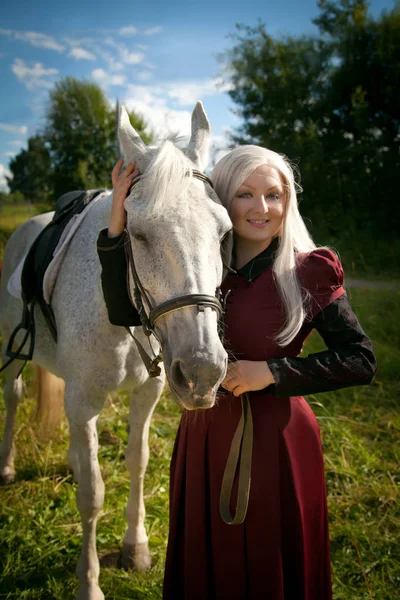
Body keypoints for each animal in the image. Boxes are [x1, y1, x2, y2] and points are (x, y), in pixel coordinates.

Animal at [0, 103, 231, 600]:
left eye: (223, 231)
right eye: (138, 233)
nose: (203, 371)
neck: (118, 304)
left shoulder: (147, 395)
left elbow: (137, 463)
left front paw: (136, 548)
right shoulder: (84, 400)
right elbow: (92, 494)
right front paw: (89, 583)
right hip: (10, 348)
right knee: (12, 396)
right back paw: (6, 467)